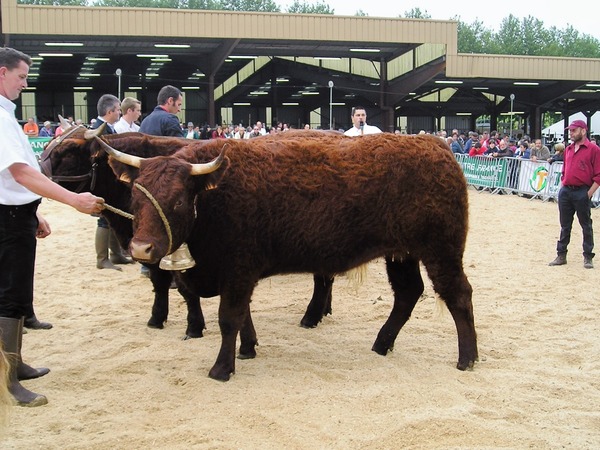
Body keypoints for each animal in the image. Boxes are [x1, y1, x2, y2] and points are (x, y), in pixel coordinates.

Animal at [102, 133, 478, 380]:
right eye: (135, 197)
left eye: (179, 201)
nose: (141, 248)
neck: (214, 197)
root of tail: (437, 146)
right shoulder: (237, 275)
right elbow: (243, 315)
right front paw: (248, 348)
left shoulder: (237, 270)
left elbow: (229, 318)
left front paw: (222, 368)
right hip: (401, 254)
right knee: (407, 294)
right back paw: (381, 344)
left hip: (442, 251)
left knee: (458, 295)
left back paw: (467, 358)